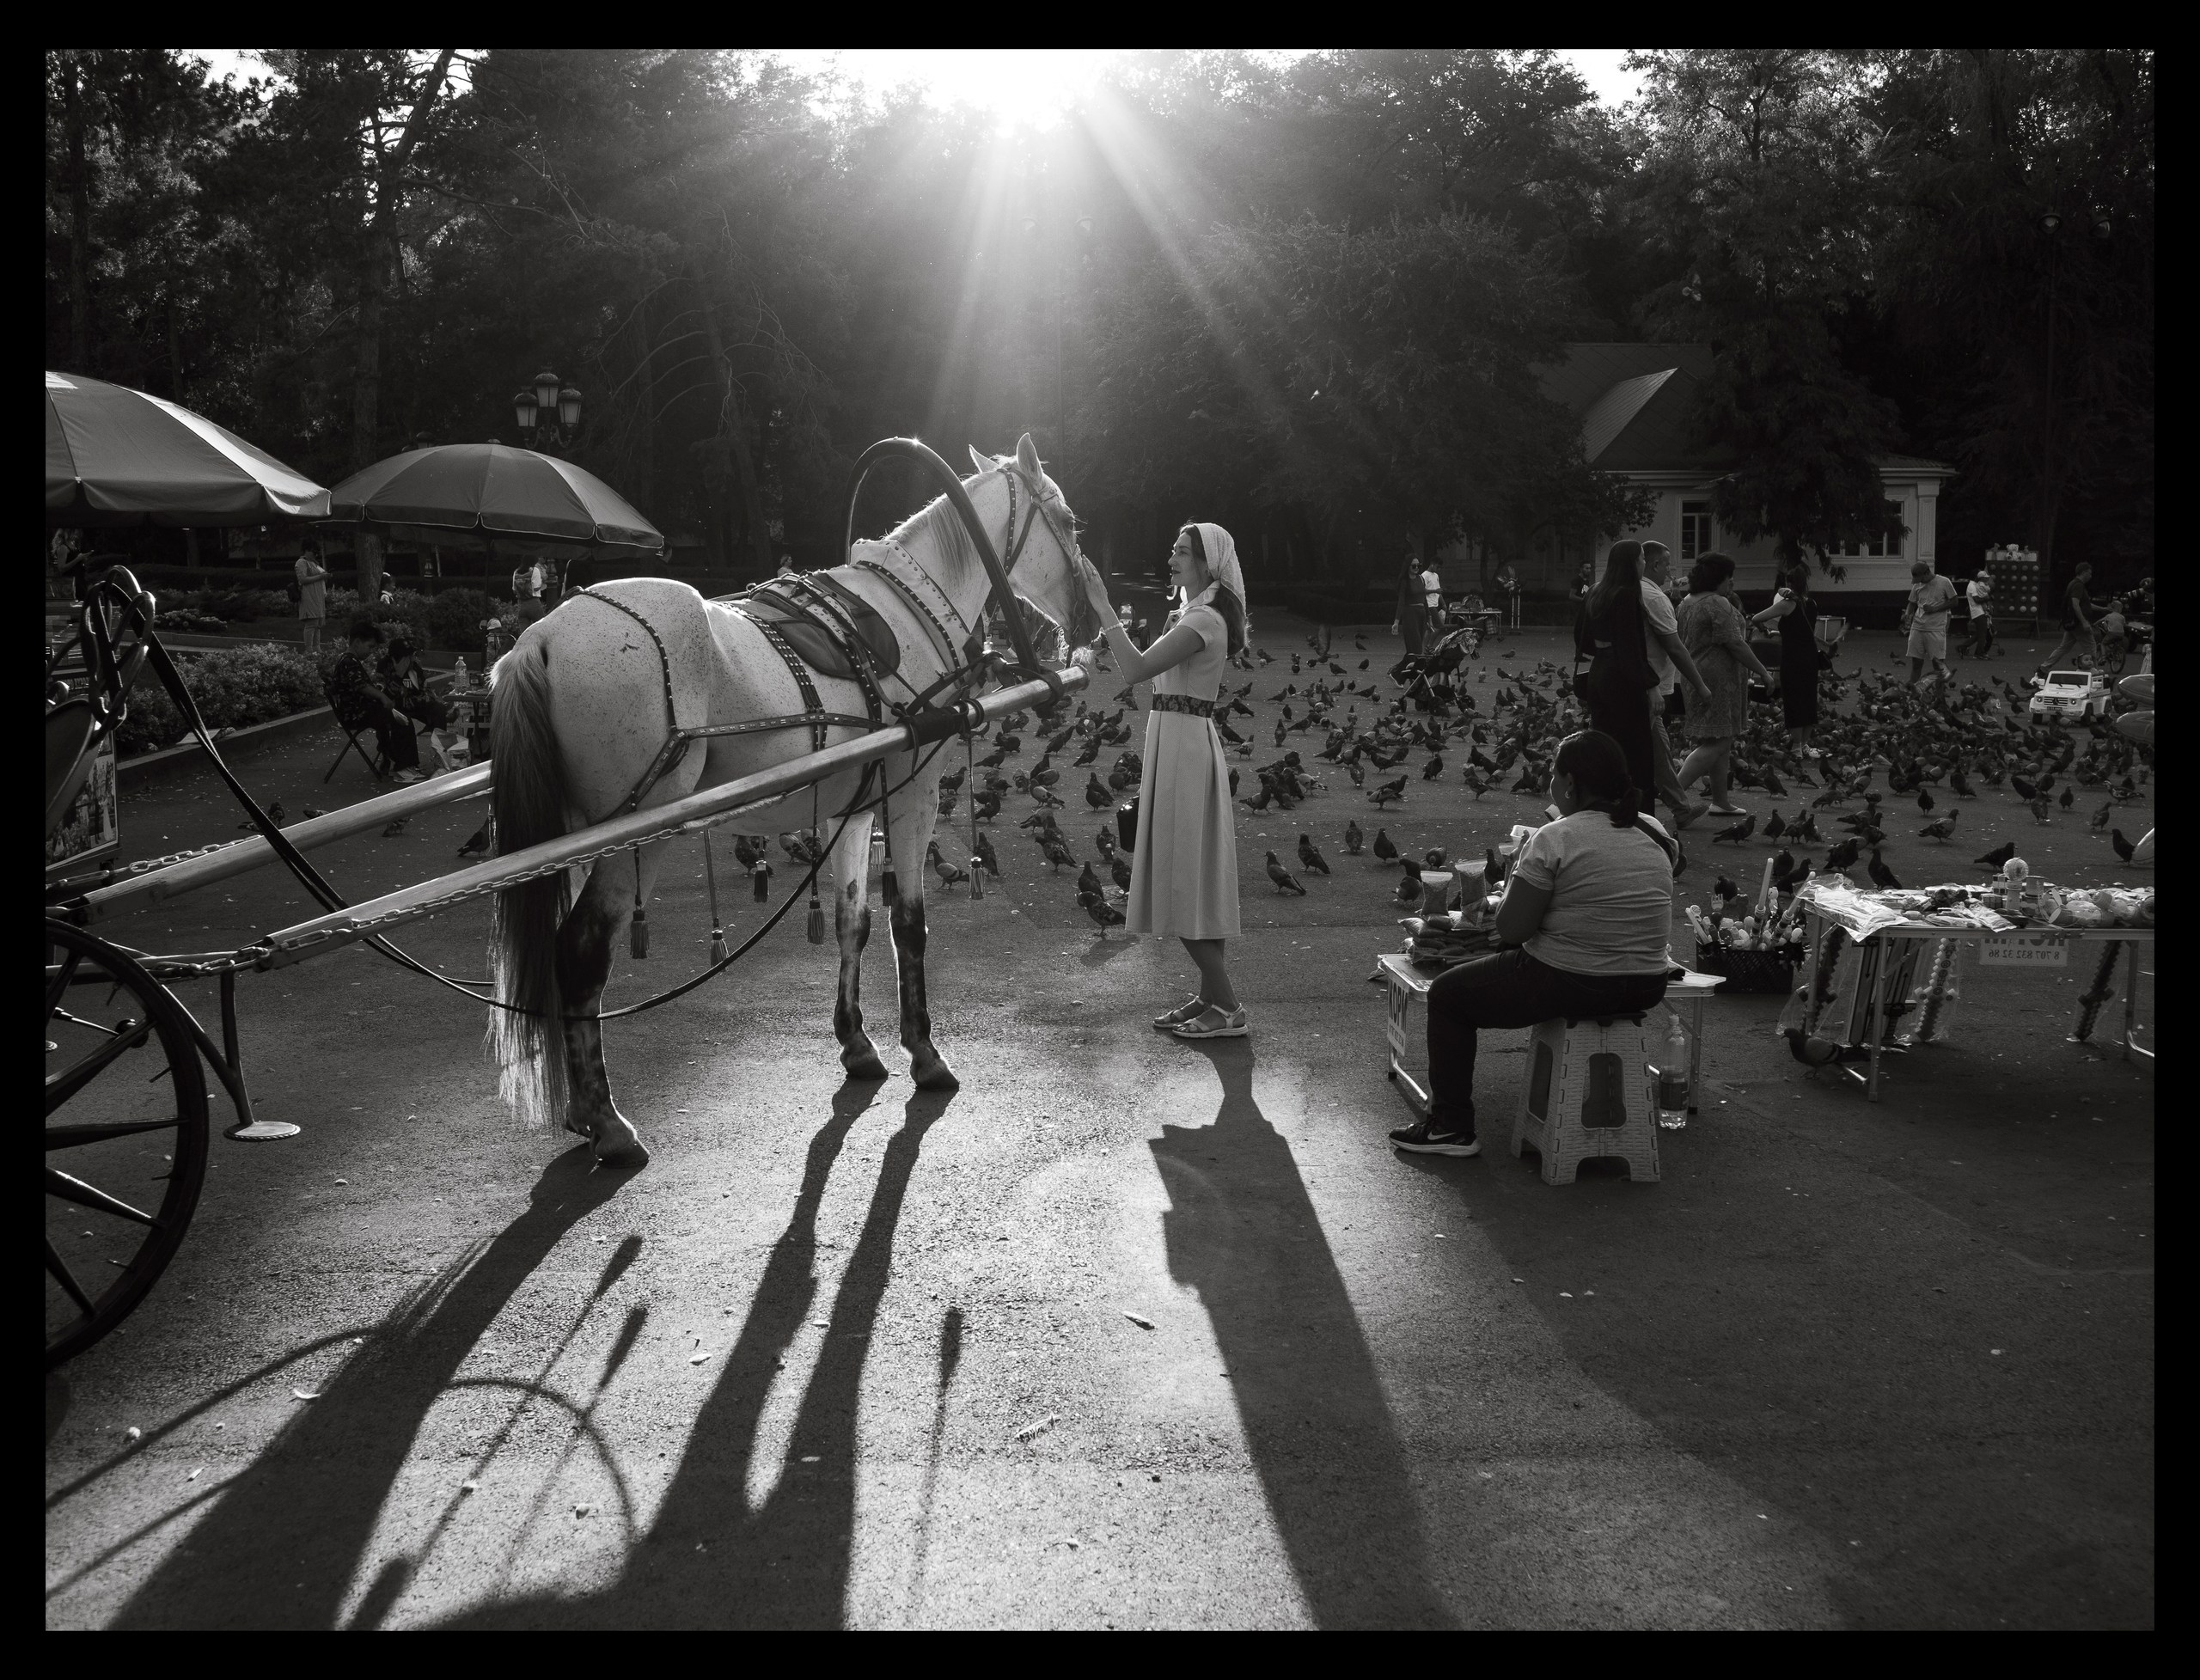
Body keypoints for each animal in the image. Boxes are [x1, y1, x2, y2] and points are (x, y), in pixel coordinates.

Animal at [484, 439, 1100, 1161]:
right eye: (1070, 520)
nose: (1094, 617)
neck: (910, 608)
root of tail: (539, 639)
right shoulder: (913, 787)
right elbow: (909, 923)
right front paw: (924, 1051)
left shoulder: (852, 802)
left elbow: (852, 919)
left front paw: (856, 1041)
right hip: (636, 833)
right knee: (583, 952)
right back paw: (607, 1119)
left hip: (580, 833)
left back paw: (584, 1107)